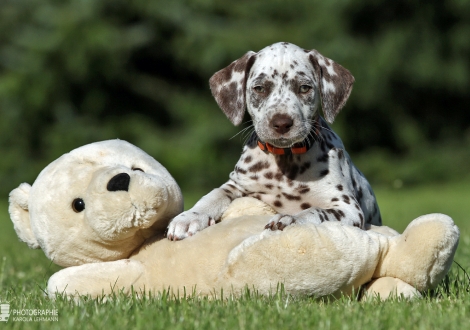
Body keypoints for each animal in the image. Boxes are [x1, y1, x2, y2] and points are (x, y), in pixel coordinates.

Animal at [167, 42, 380, 241]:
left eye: (304, 88)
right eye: (260, 88)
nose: (281, 123)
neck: (284, 162)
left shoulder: (347, 207)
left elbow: (317, 211)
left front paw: (292, 218)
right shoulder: (237, 185)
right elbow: (213, 195)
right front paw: (190, 217)